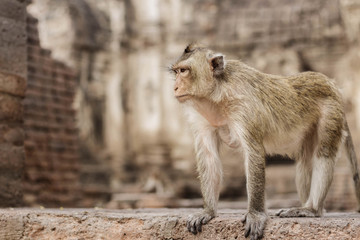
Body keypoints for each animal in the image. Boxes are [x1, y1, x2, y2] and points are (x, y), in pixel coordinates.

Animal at [169, 43, 360, 240]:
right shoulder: (201, 117)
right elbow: (208, 157)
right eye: (176, 72)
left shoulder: (244, 108)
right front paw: (207, 211)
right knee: (305, 161)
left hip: (330, 112)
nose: (175, 87)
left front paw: (255, 214)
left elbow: (254, 154)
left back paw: (312, 209)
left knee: (323, 153)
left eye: (184, 71)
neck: (217, 95)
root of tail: (332, 85)